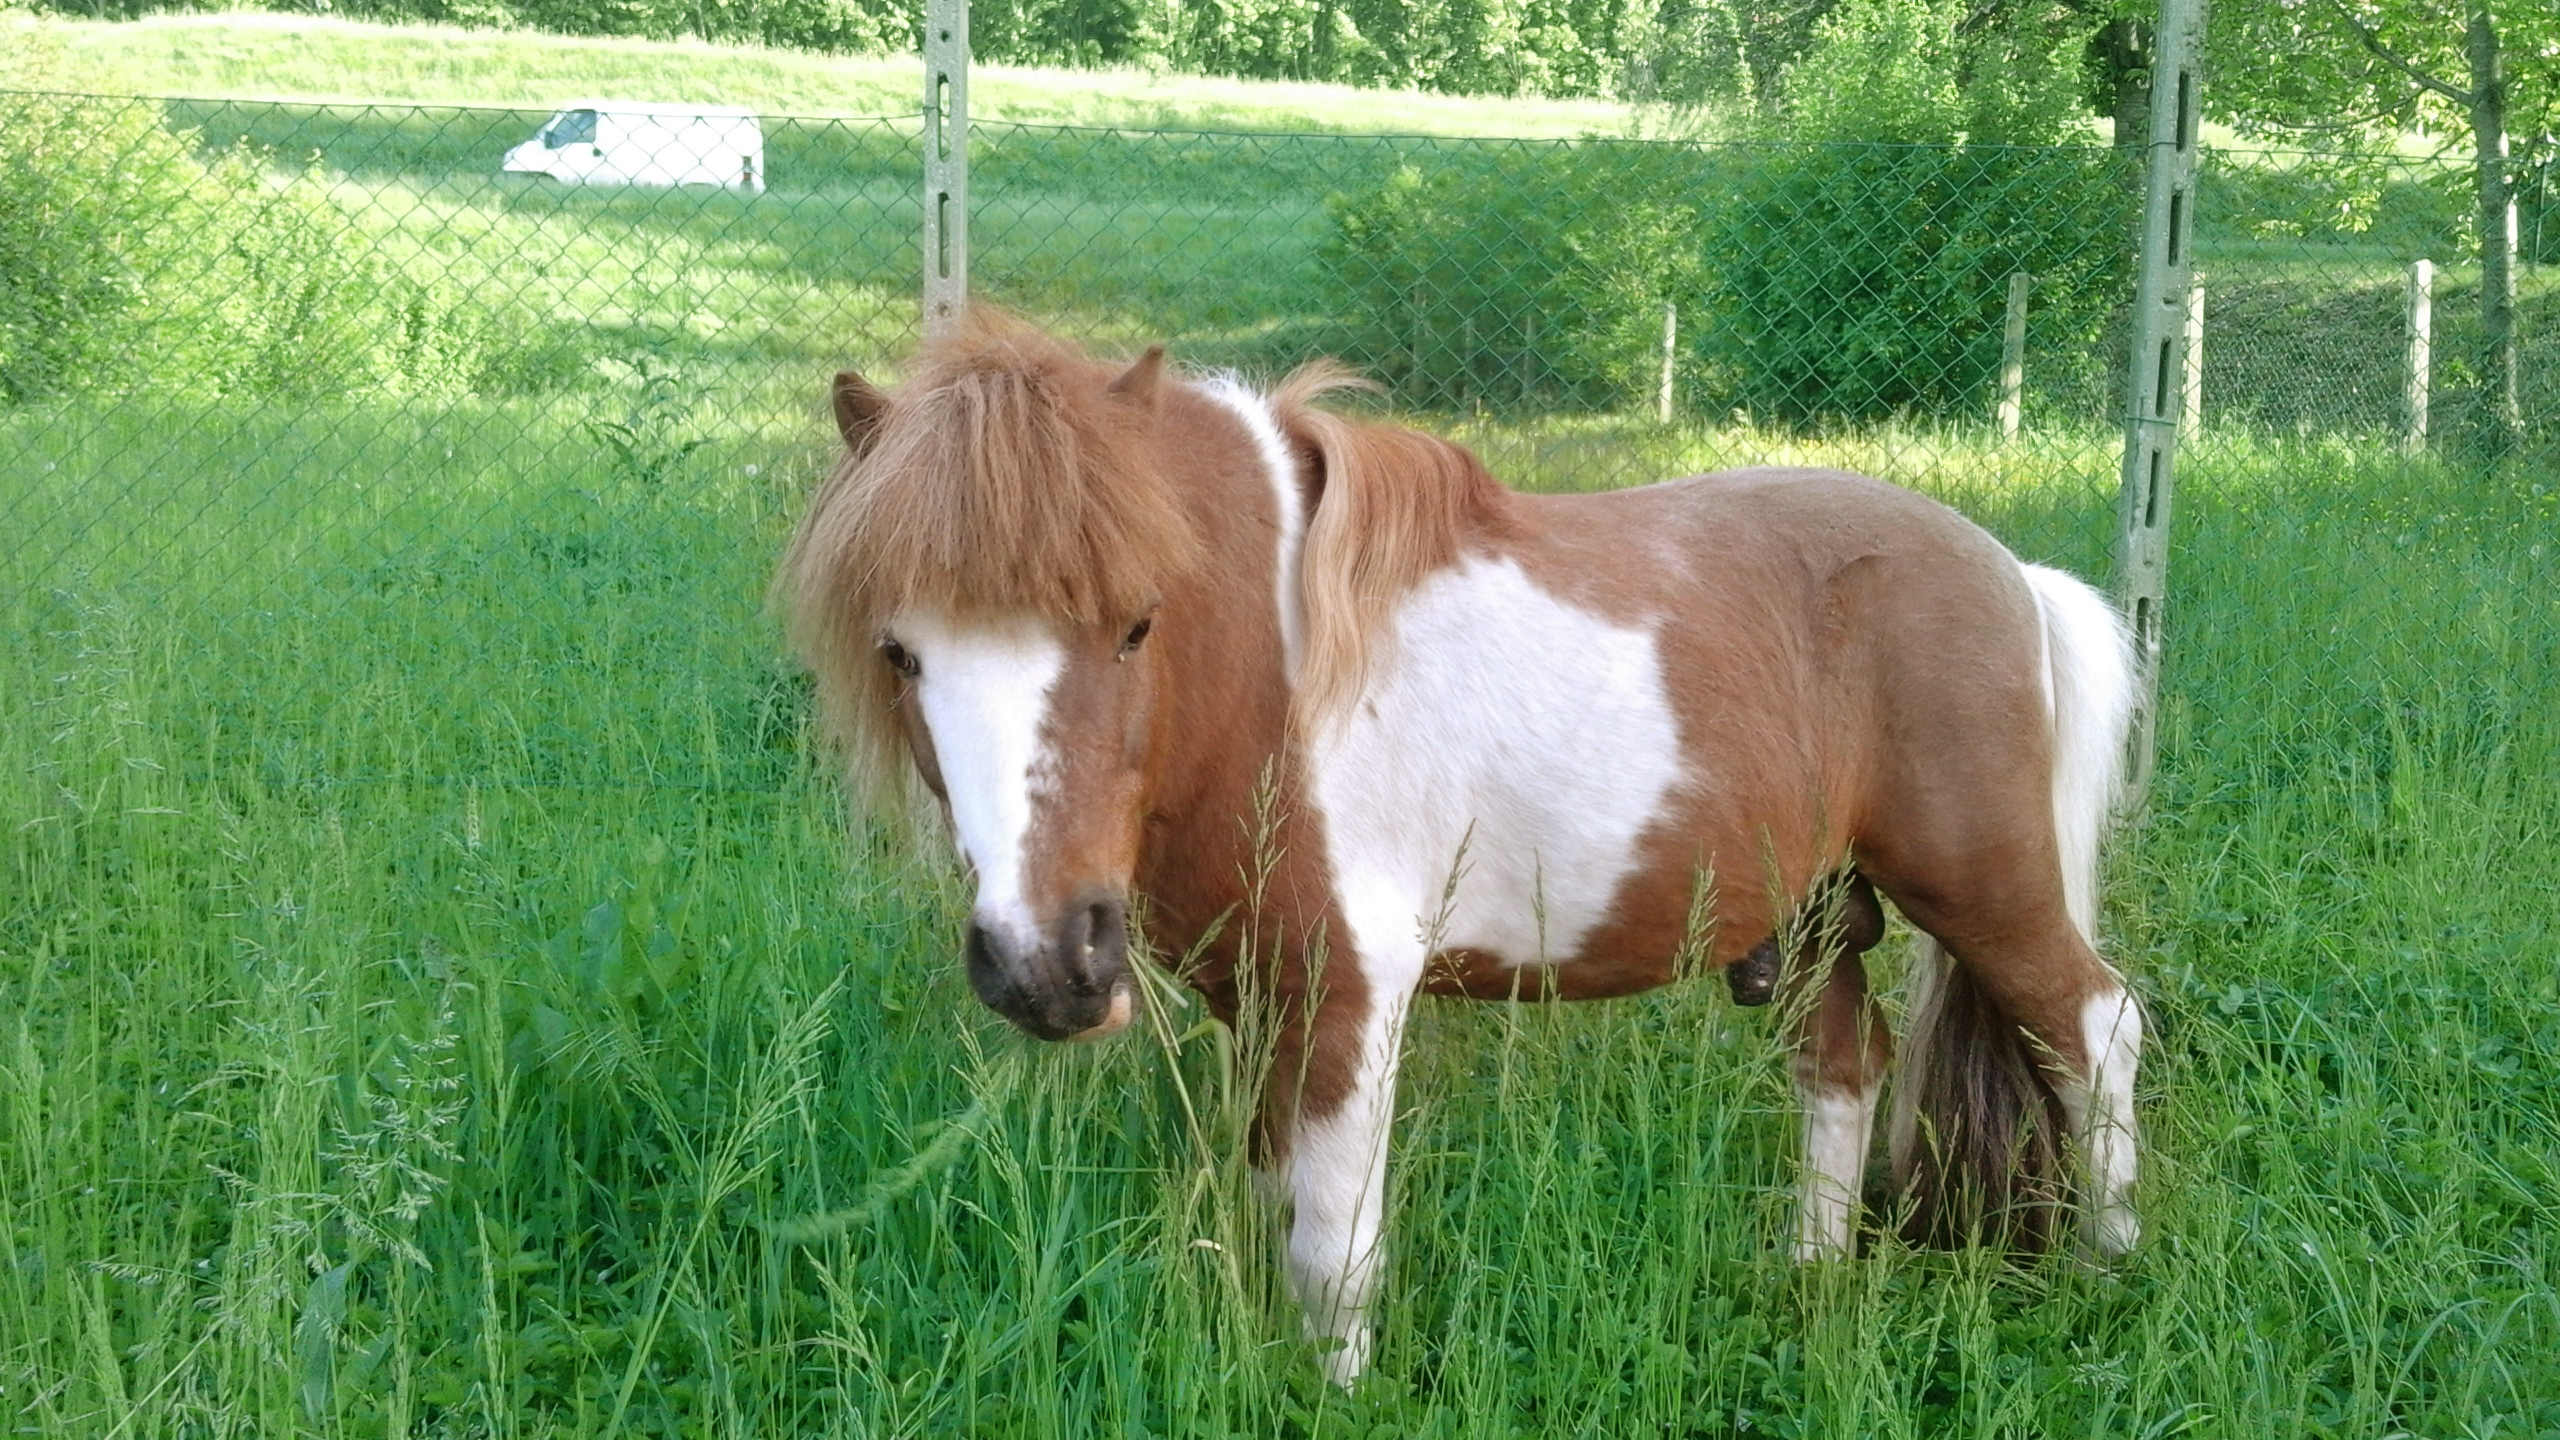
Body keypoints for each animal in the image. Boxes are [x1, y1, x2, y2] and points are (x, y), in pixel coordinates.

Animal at [773, 316, 2140, 1383]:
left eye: (1134, 624)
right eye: (900, 653)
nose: (1046, 965)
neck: (1269, 673)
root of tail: (2007, 571)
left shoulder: (1345, 997)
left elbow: (1333, 1248)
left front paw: (1332, 1394)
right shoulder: (1255, 1003)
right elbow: (1271, 1200)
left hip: (1980, 886)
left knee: (2096, 1027)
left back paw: (2108, 1269)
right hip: (1808, 916)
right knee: (1842, 1068)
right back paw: (1807, 1278)